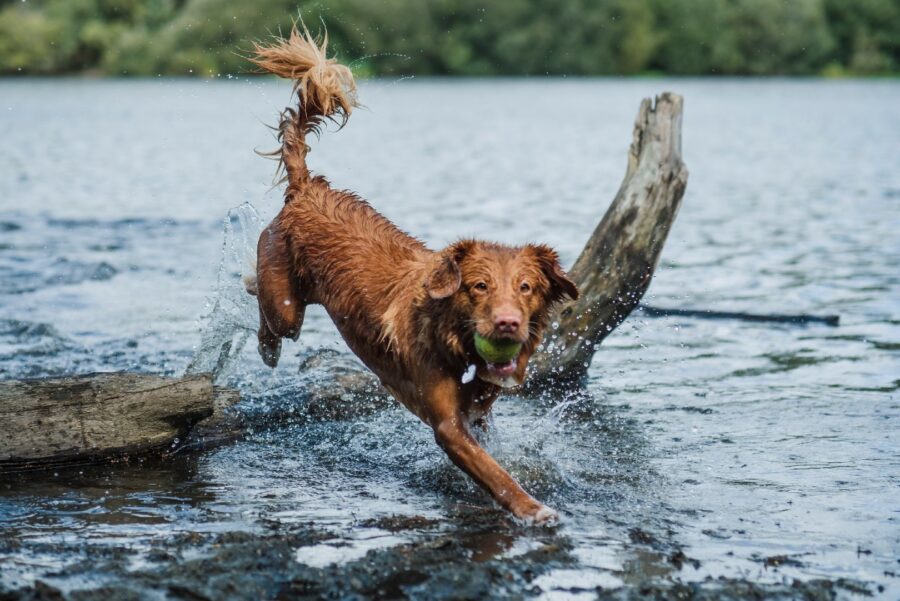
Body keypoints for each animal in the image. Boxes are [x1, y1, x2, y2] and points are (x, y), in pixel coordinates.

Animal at [246, 28, 580, 520]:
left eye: (526, 288)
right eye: (479, 286)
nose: (507, 324)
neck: (456, 340)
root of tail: (309, 188)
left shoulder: (477, 412)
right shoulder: (447, 426)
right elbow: (497, 475)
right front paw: (532, 509)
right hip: (285, 301)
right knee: (271, 314)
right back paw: (265, 338)